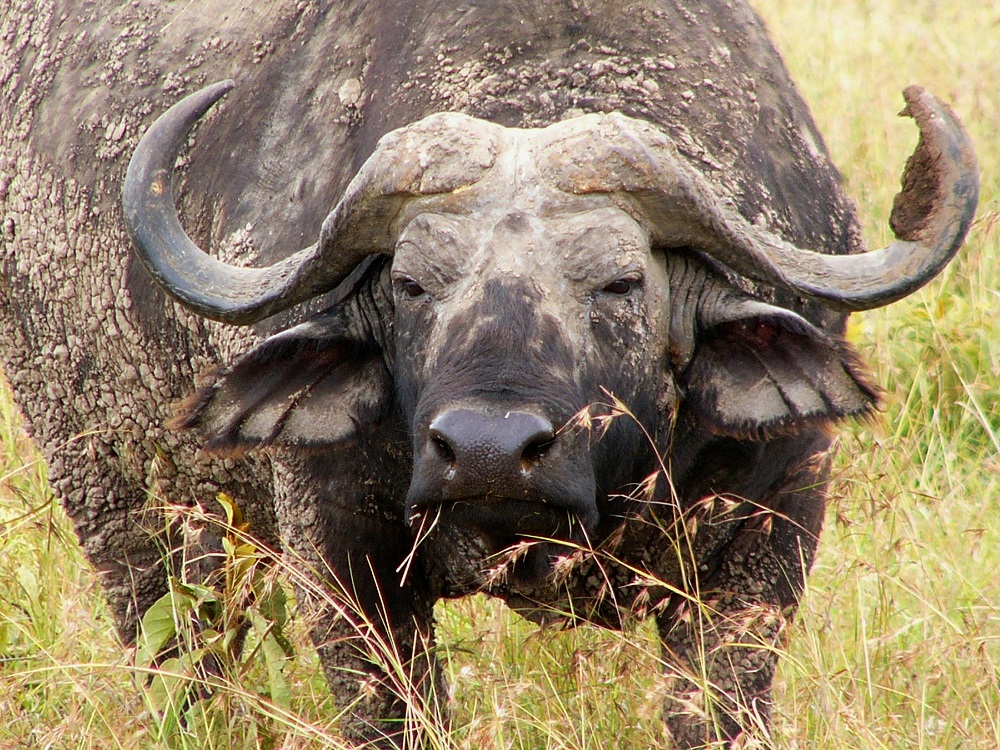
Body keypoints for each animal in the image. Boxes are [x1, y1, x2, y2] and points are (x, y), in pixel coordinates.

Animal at [0, 1, 976, 750]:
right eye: (410, 284)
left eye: (621, 283)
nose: (488, 451)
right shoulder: (342, 561)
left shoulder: (772, 532)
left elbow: (715, 707)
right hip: (124, 496)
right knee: (184, 654)